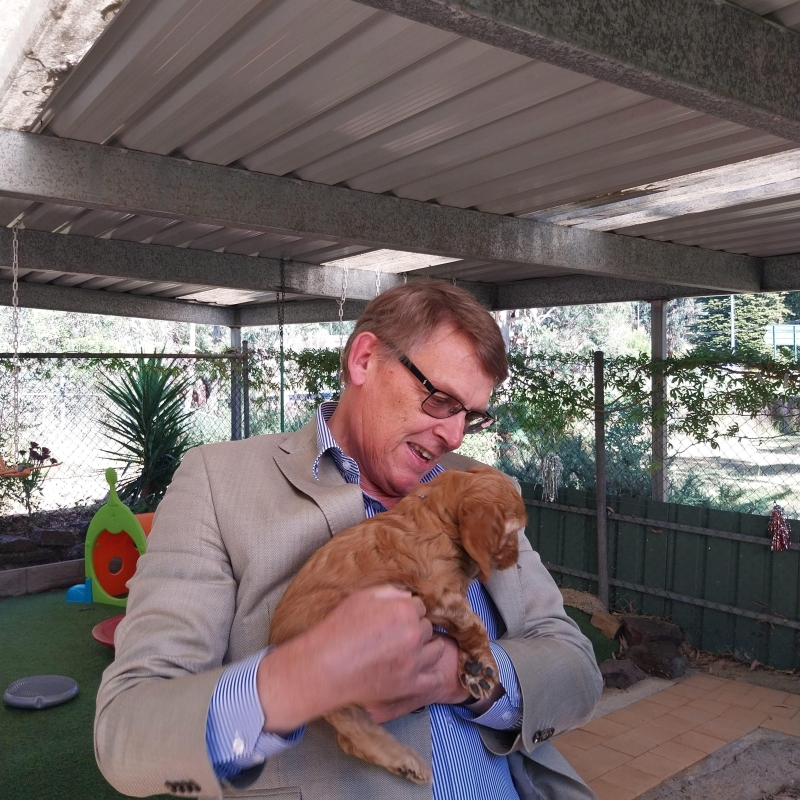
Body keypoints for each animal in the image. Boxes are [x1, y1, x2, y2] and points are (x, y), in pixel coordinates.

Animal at [272, 466, 528, 784]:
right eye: (514, 531)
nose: (517, 560)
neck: (437, 515)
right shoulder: (439, 597)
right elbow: (474, 625)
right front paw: (481, 665)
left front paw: (471, 668)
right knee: (352, 726)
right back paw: (405, 759)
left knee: (348, 738)